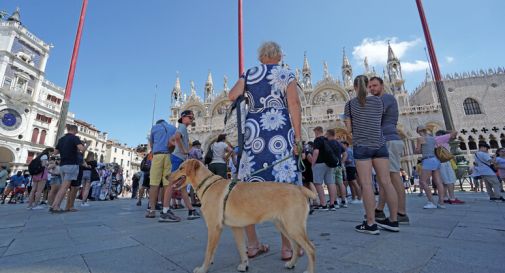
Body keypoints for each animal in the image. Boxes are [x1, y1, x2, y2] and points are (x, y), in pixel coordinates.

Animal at [165, 158, 316, 272]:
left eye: (181, 168)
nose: (166, 176)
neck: (208, 185)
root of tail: (299, 188)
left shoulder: (214, 227)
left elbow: (208, 251)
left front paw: (203, 269)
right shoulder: (235, 228)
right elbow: (241, 249)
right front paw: (244, 265)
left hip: (293, 227)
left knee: (310, 248)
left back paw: (309, 270)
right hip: (284, 226)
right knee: (296, 246)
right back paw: (291, 264)